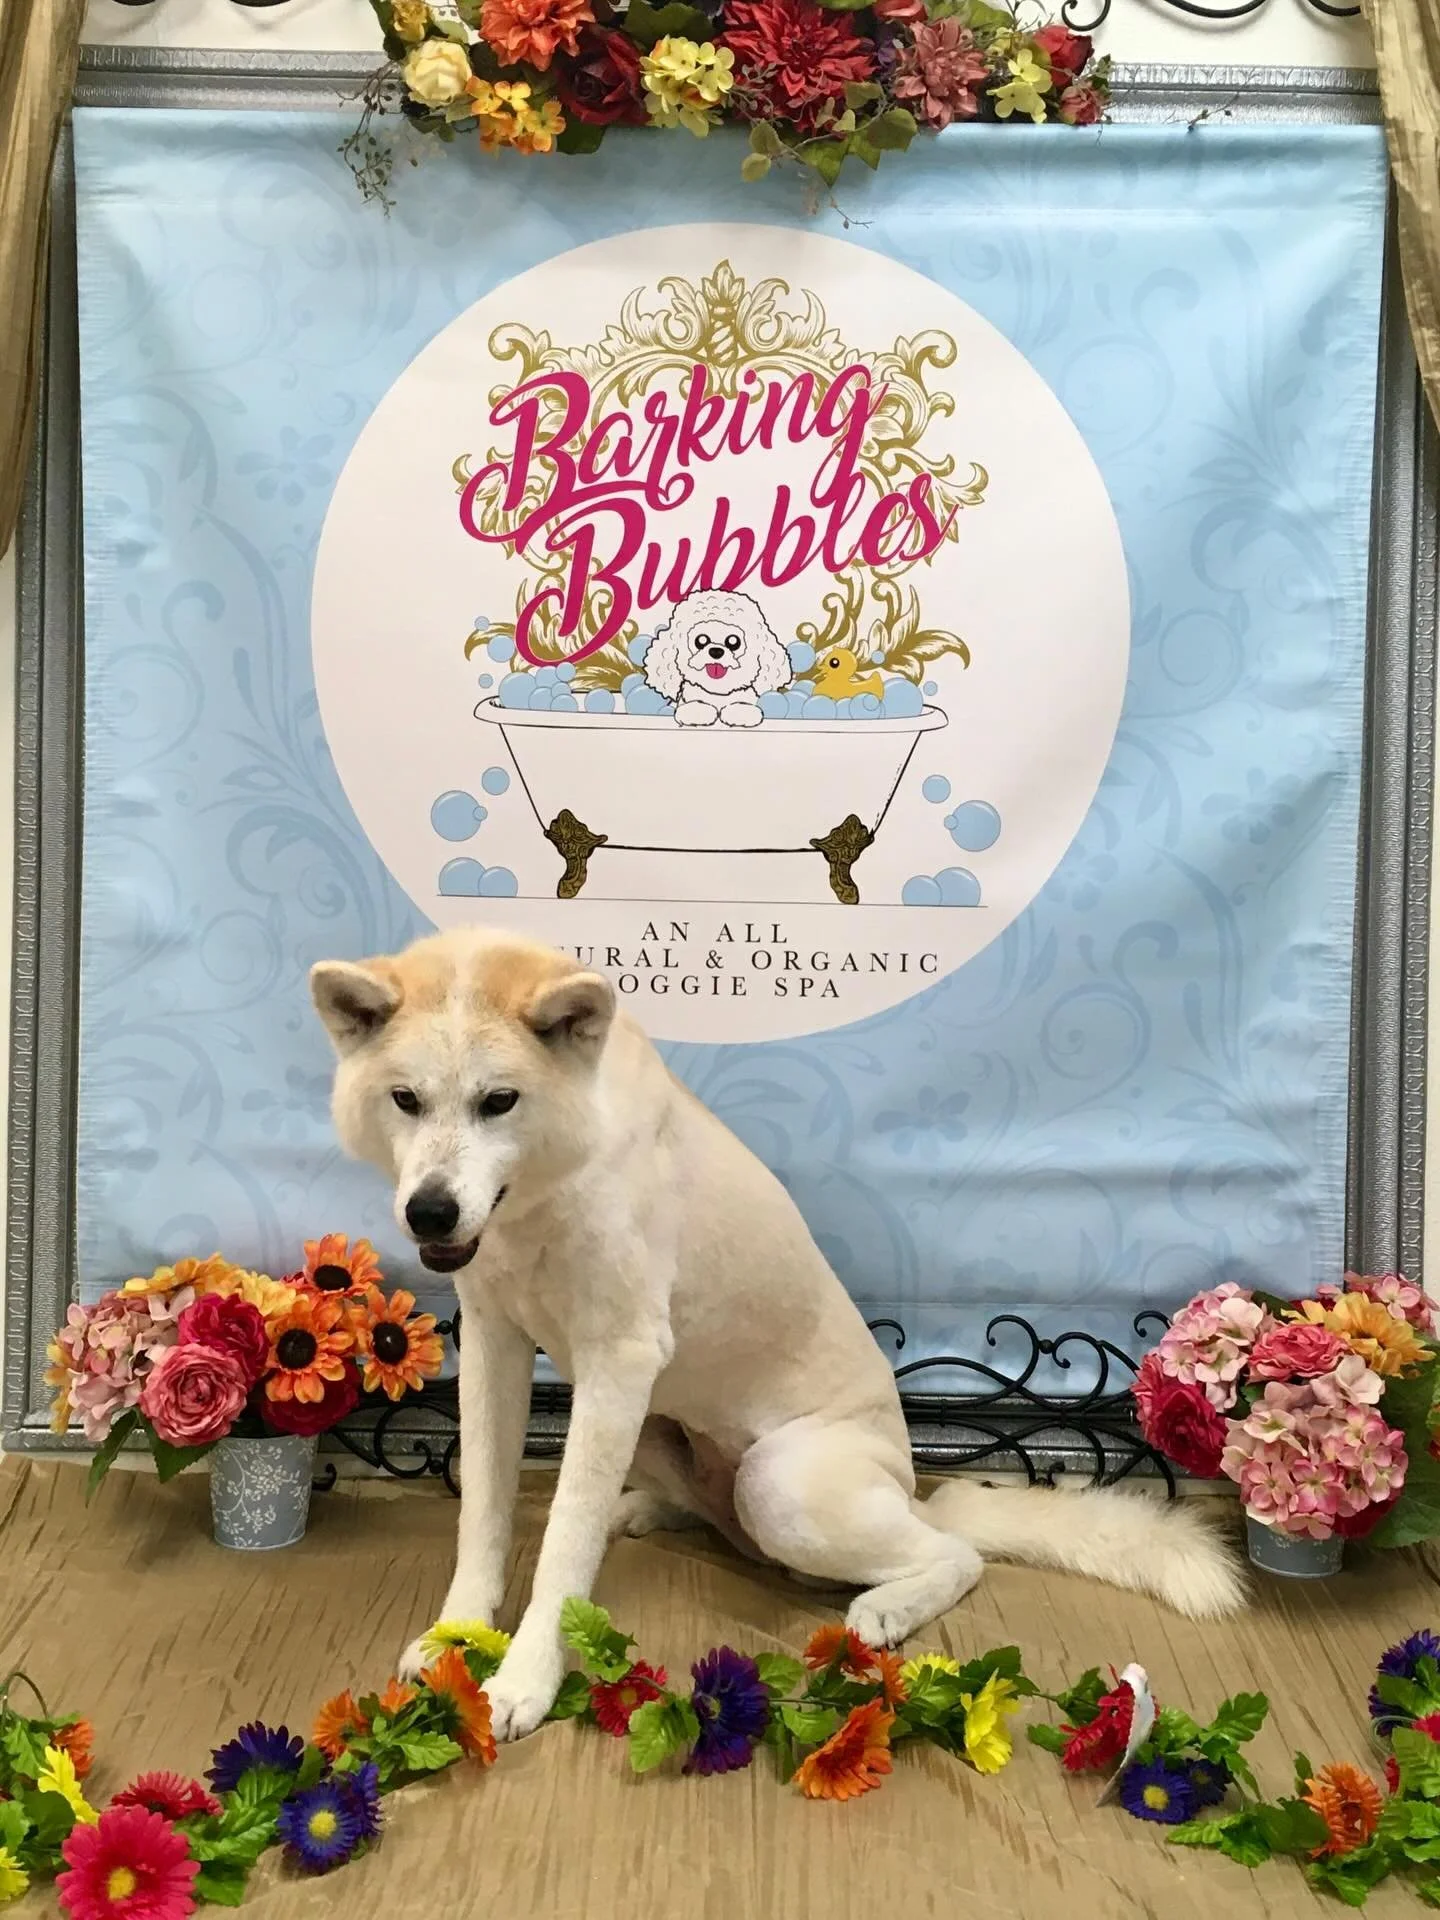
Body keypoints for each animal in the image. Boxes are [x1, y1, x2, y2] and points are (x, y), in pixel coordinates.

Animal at [311, 928, 1243, 1742]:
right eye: (406, 1100)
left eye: (498, 1102)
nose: (430, 1211)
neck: (542, 1196)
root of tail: (909, 1488)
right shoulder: (497, 1346)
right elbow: (486, 1516)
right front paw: (458, 1641)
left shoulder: (619, 1360)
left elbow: (563, 1543)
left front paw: (523, 1678)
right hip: (652, 1426)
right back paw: (645, 1510)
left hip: (778, 1482)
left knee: (952, 1554)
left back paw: (886, 1605)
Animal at [642, 587, 791, 728]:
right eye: (701, 640)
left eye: (733, 642)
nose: (716, 651)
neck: (718, 694)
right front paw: (697, 711)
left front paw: (740, 712)